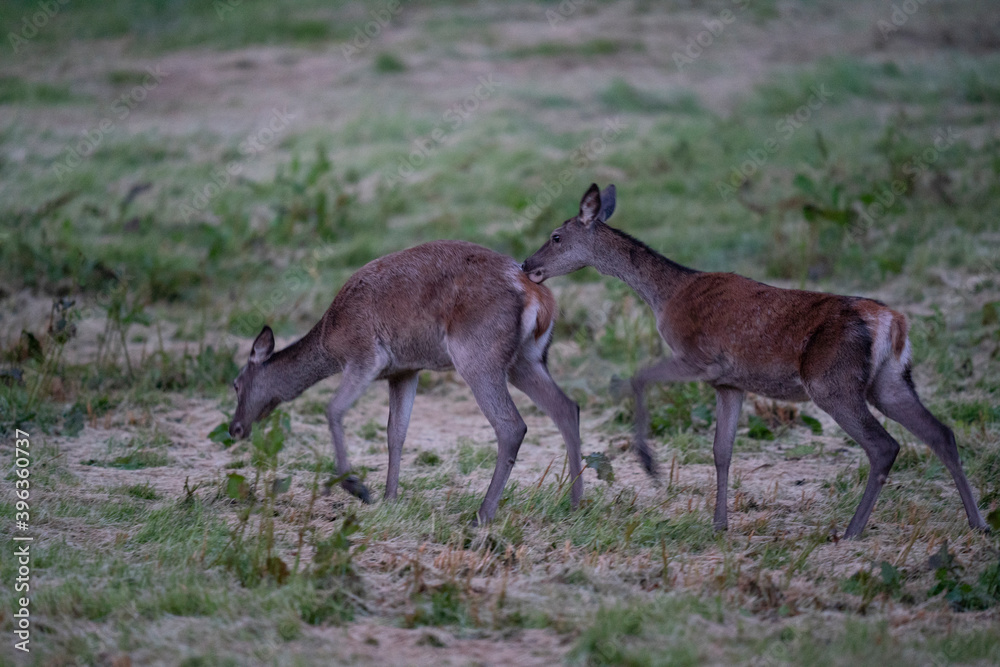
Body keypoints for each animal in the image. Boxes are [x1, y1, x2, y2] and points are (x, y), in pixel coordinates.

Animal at [227, 240, 582, 525]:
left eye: (236, 383)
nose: (235, 428)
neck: (331, 340)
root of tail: (540, 297)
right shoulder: (404, 370)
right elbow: (396, 432)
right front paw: (389, 498)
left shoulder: (365, 356)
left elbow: (333, 409)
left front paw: (359, 488)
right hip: (526, 359)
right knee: (566, 407)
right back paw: (575, 502)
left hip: (477, 354)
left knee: (511, 425)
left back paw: (482, 515)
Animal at [521, 183, 987, 539]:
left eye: (557, 236)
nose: (528, 264)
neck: (666, 295)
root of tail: (893, 322)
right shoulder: (730, 381)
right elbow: (721, 450)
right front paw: (719, 524)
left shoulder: (700, 358)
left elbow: (638, 378)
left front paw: (650, 466)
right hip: (889, 380)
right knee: (941, 432)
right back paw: (978, 522)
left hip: (831, 381)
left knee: (884, 445)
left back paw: (853, 529)